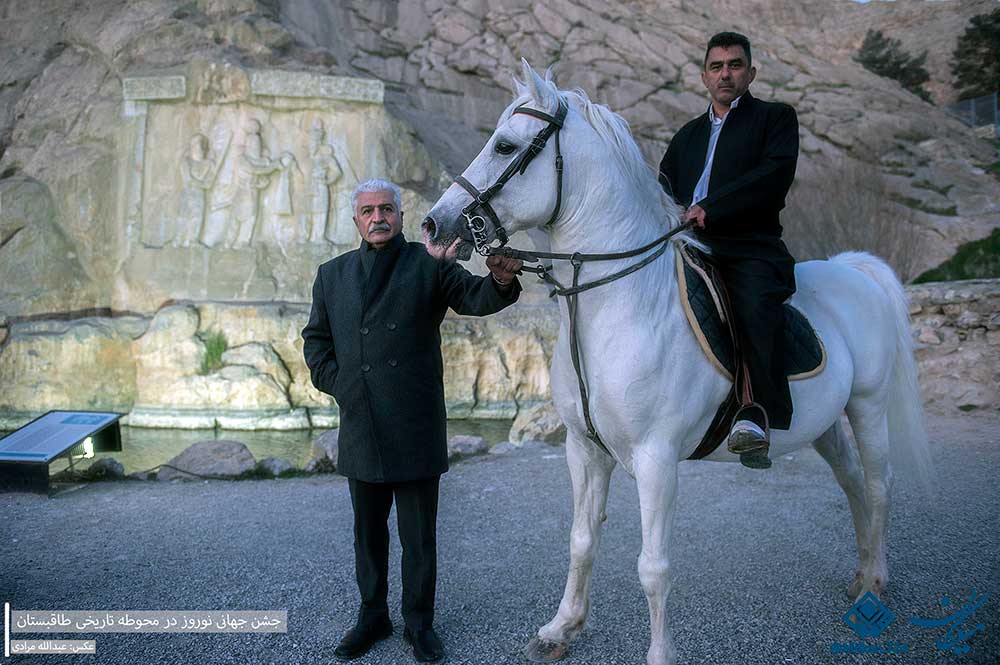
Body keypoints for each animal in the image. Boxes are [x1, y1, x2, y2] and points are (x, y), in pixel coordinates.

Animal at [420, 62, 928, 664]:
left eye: (504, 145)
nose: (433, 225)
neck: (618, 304)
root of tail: (854, 268)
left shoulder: (656, 459)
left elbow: (653, 567)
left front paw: (659, 653)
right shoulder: (583, 449)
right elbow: (581, 539)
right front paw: (562, 627)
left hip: (868, 405)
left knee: (878, 484)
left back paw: (874, 582)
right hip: (824, 422)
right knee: (852, 483)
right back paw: (861, 575)